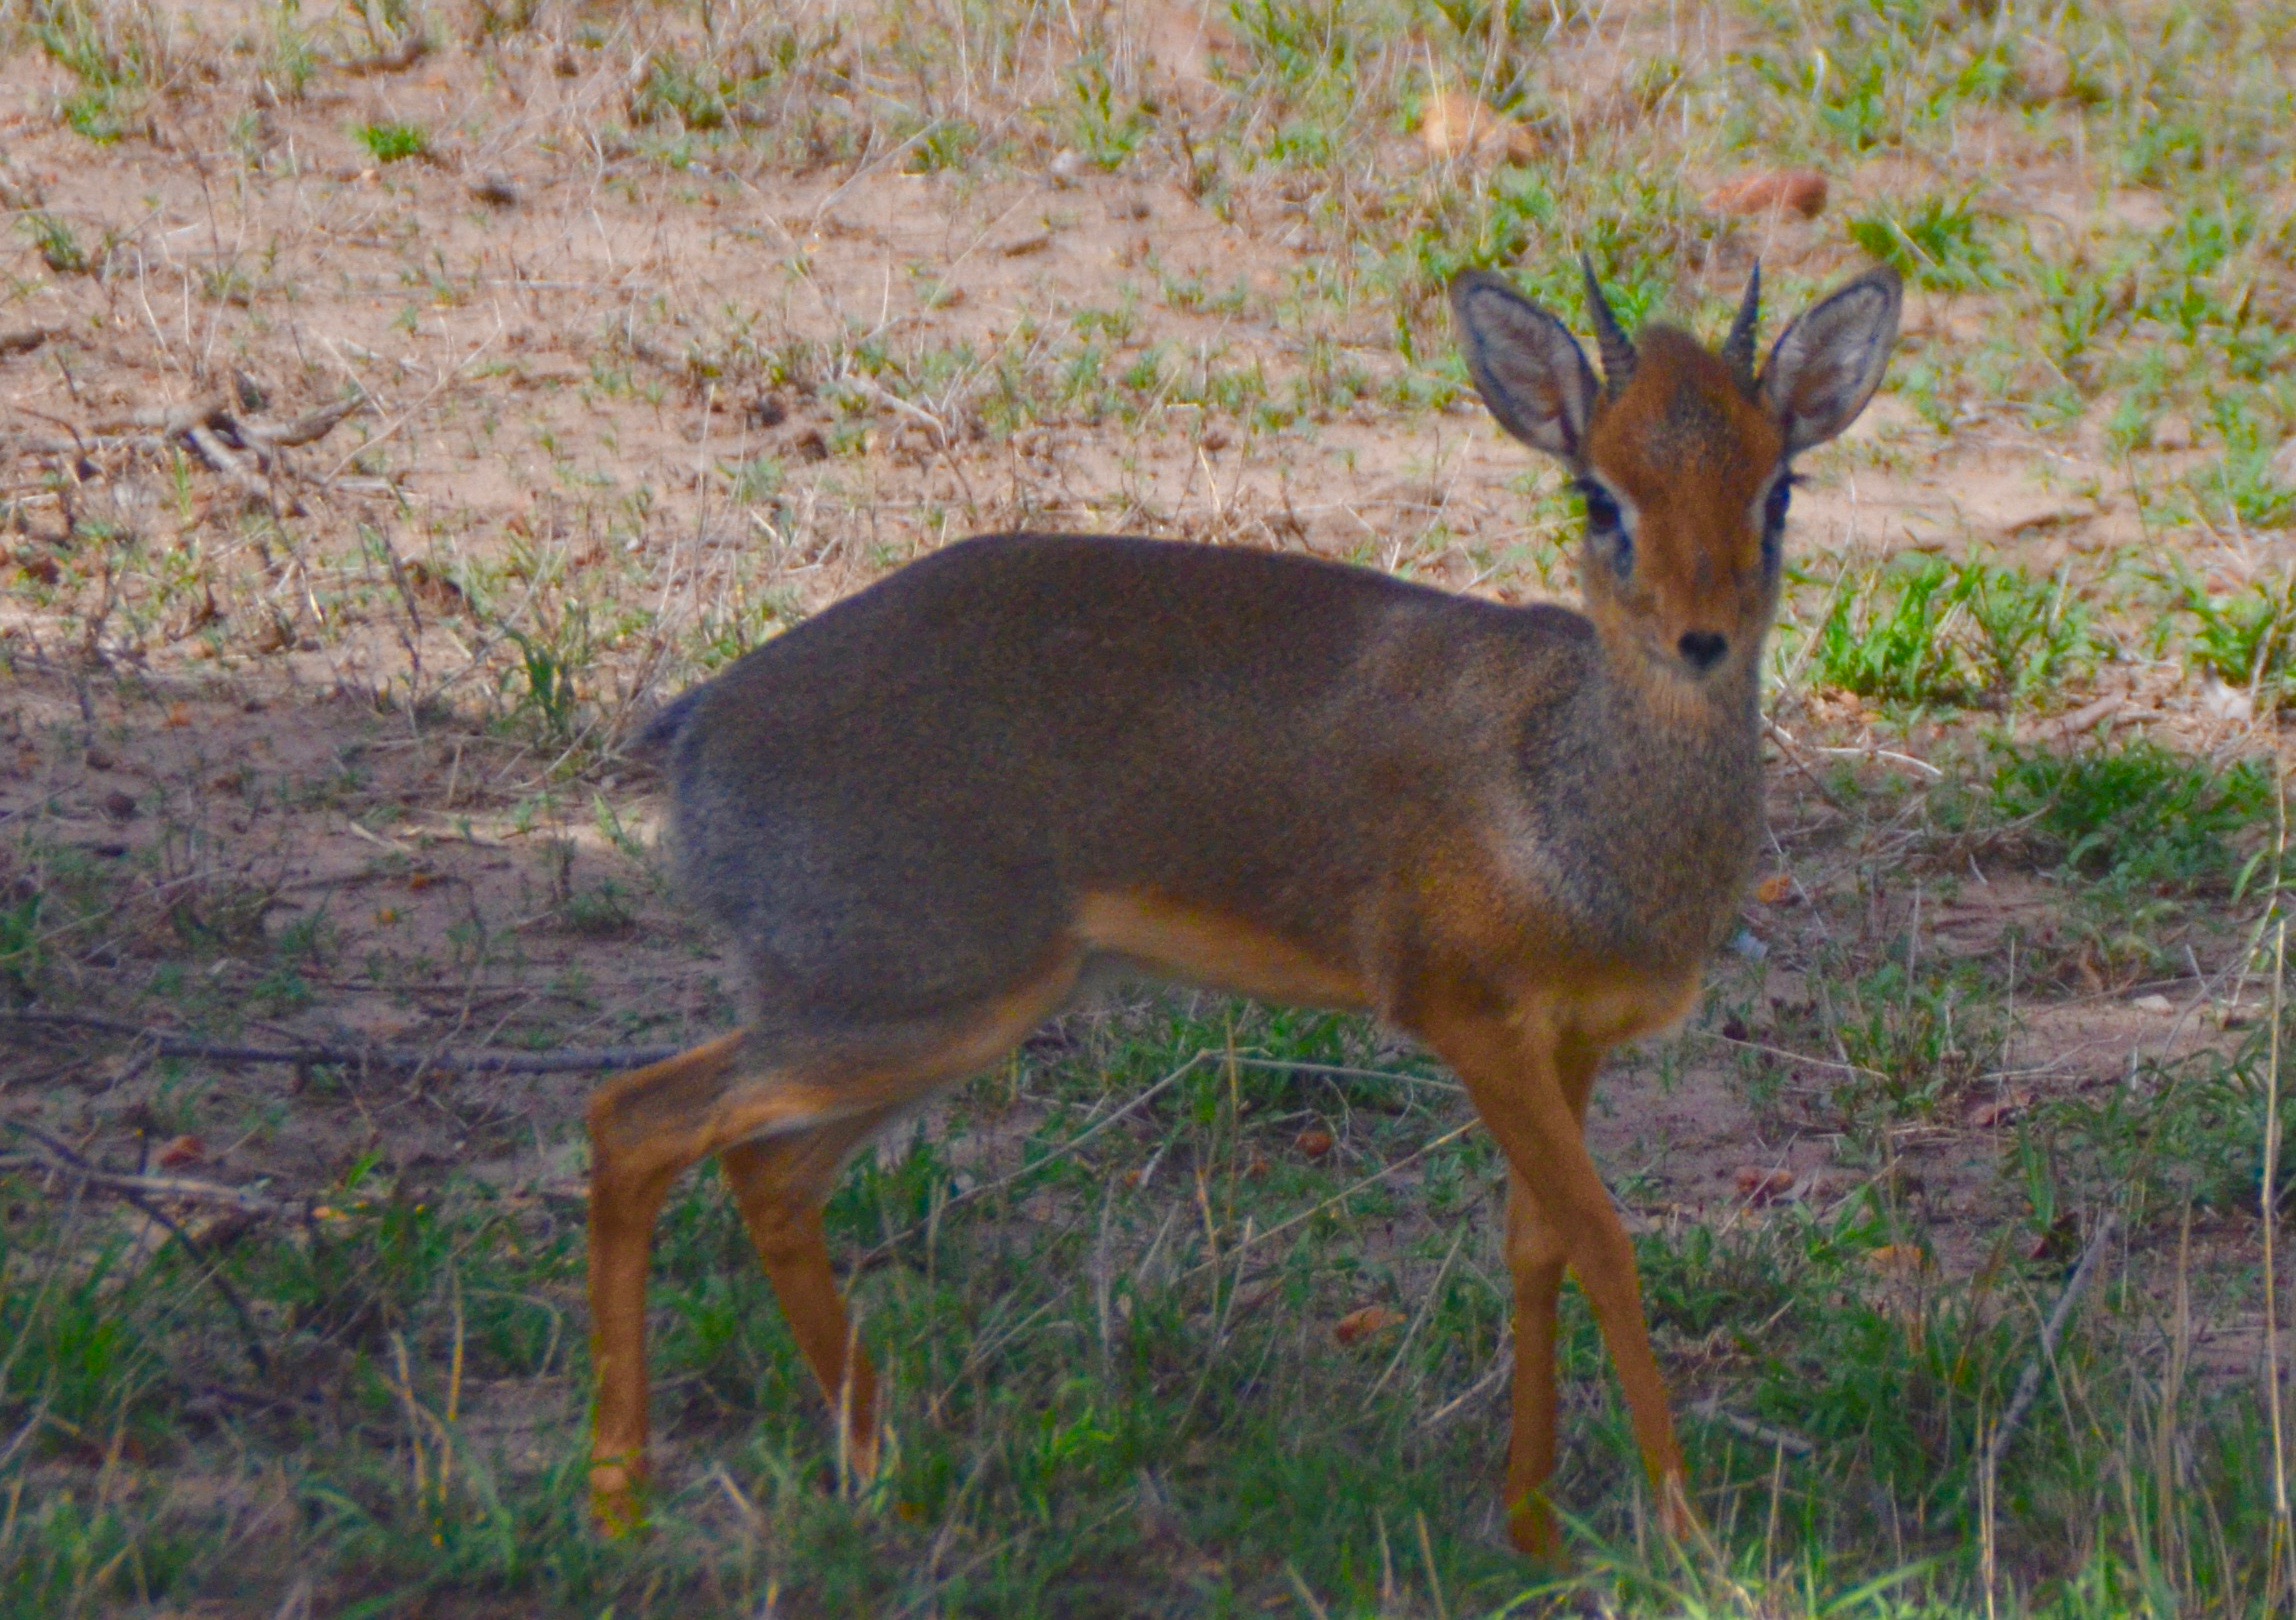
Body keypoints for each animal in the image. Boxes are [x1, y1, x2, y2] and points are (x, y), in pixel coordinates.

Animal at [587, 259, 1901, 1541]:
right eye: (1599, 497)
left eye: (1778, 488)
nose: (1700, 638)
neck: (1563, 788)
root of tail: (696, 727)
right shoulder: (1468, 1020)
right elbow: (1606, 1242)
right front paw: (1688, 1545)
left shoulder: (1570, 1040)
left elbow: (1536, 1244)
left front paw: (1529, 1524)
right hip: (906, 1005)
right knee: (635, 1117)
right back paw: (625, 1509)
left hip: (913, 1024)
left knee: (763, 1175)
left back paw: (882, 1477)